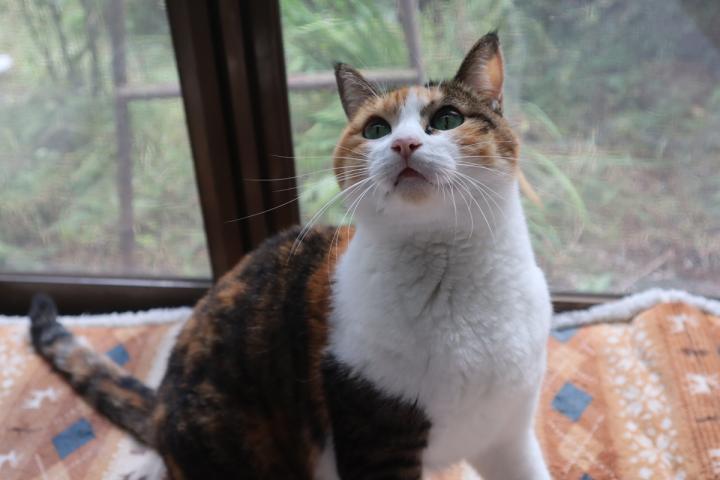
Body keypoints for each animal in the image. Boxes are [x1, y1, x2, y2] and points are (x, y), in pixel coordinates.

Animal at [29, 32, 552, 480]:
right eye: (376, 129)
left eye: (446, 119)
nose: (404, 144)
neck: (455, 279)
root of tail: (162, 403)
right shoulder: (374, 438)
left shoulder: (509, 434)